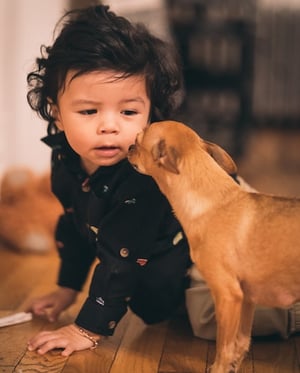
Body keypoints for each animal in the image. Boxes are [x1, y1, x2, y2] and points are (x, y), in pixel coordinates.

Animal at [127, 120, 300, 372]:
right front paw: (233, 366)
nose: (129, 147)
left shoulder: (228, 296)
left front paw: (218, 368)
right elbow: (241, 344)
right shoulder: (247, 299)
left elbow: (224, 347)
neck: (213, 201)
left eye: (139, 141)